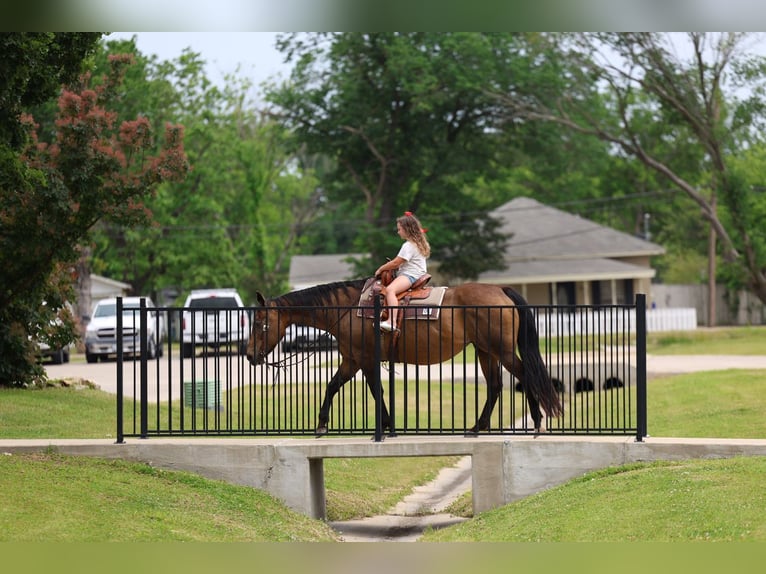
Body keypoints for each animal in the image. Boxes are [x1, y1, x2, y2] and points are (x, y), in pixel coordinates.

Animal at [246, 279, 563, 436]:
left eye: (260, 323)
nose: (249, 356)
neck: (349, 309)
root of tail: (501, 290)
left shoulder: (365, 360)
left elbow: (376, 391)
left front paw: (386, 425)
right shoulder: (351, 361)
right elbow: (333, 386)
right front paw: (322, 423)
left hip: (503, 351)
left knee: (525, 376)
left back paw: (537, 422)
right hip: (486, 351)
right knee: (496, 386)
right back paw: (476, 427)